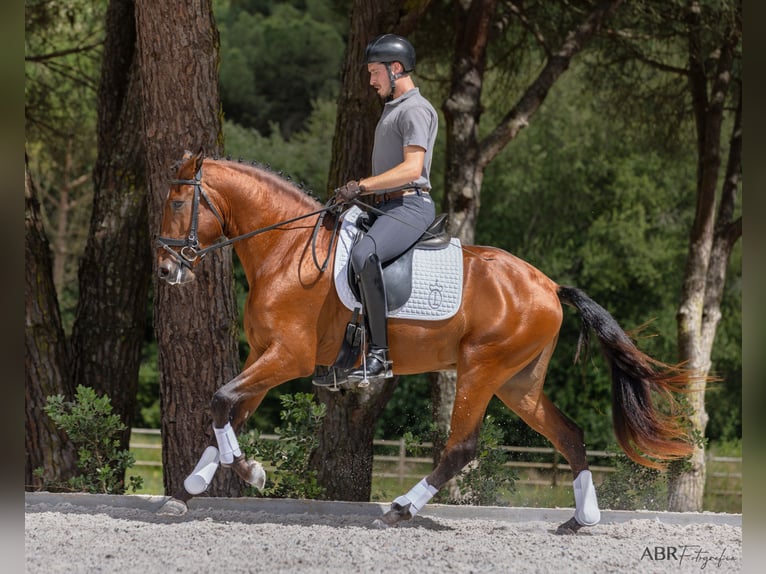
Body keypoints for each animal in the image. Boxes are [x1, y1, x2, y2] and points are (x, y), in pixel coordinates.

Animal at [156, 153, 696, 536]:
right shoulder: (262, 355)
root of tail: (548, 285)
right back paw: (582, 519)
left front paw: (247, 472)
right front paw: (188, 491)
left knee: (461, 447)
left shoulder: (287, 357)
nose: (165, 270)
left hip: (480, 368)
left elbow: (220, 399)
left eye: (178, 204)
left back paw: (399, 509)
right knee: (569, 434)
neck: (287, 251)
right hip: (517, 383)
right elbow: (230, 411)